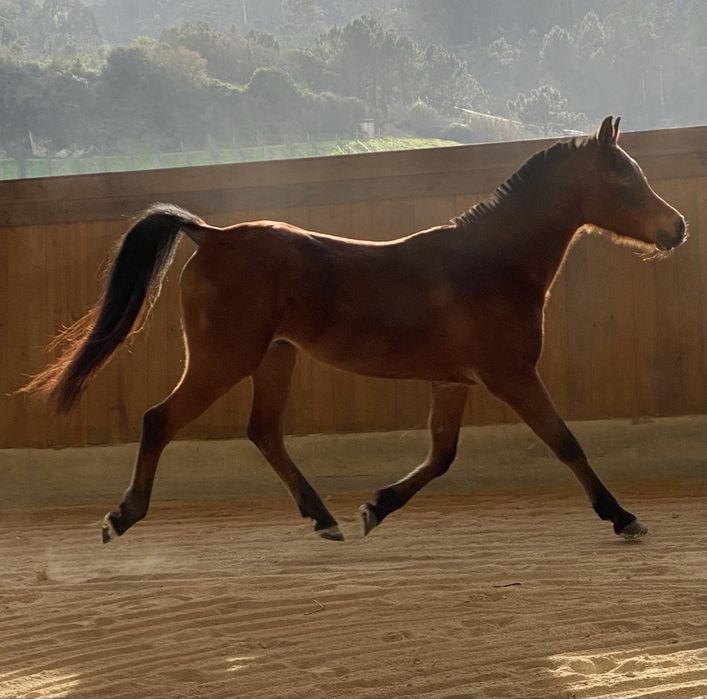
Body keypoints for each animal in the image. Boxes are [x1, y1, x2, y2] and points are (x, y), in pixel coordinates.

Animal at [20, 116, 687, 544]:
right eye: (625, 177)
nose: (676, 228)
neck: (489, 263)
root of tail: (211, 235)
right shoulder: (510, 375)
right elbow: (566, 443)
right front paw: (623, 517)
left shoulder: (455, 382)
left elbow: (441, 456)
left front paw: (375, 507)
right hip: (222, 359)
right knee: (161, 420)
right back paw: (121, 517)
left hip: (275, 358)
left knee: (264, 432)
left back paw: (325, 519)